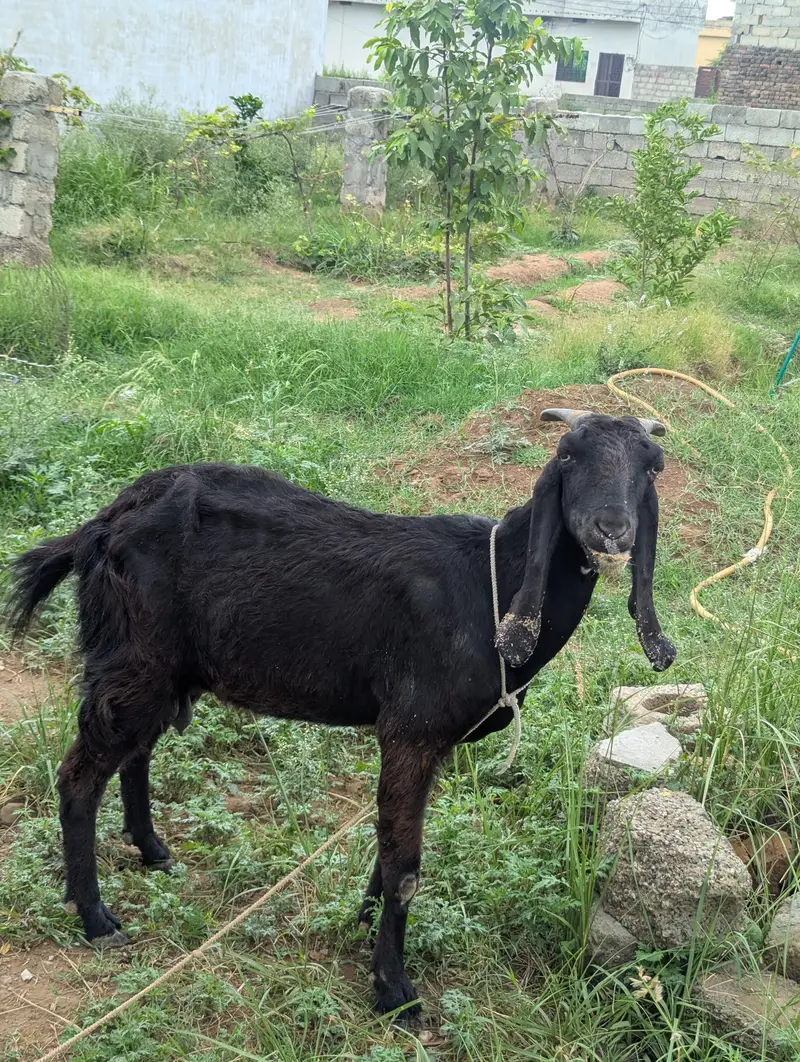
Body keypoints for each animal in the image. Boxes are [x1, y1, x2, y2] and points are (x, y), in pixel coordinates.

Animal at [7, 409, 675, 1019]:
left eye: (650, 467)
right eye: (567, 456)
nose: (611, 529)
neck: (489, 586)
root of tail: (101, 524)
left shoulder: (427, 744)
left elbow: (390, 847)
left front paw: (365, 919)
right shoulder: (410, 728)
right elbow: (406, 867)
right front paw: (394, 992)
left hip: (162, 670)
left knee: (136, 751)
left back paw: (151, 849)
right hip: (133, 658)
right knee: (79, 776)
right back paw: (96, 918)